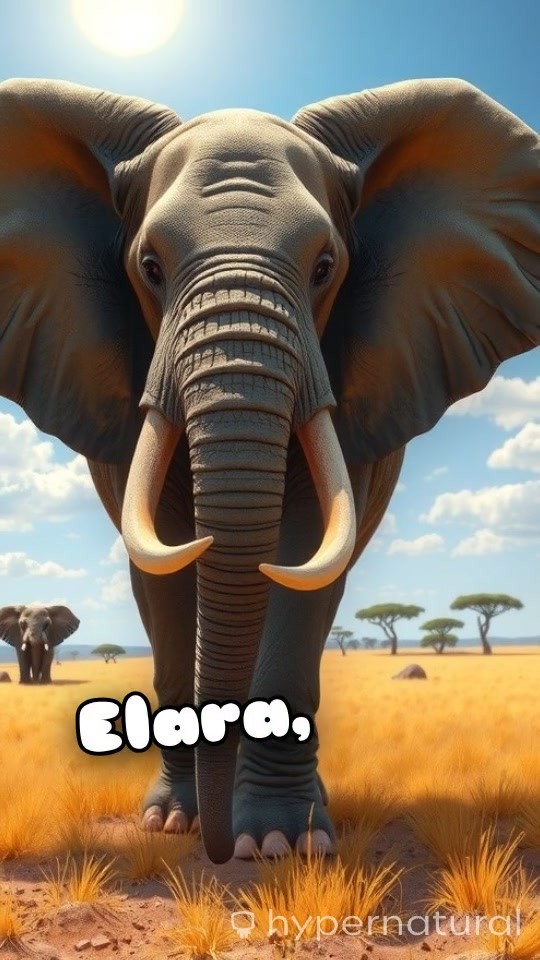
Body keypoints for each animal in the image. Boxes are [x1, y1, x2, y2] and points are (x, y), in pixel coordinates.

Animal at [0, 76, 538, 864]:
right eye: (149, 267)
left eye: (324, 267)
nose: (220, 852)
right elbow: (165, 563)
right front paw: (171, 824)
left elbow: (301, 553)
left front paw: (284, 842)